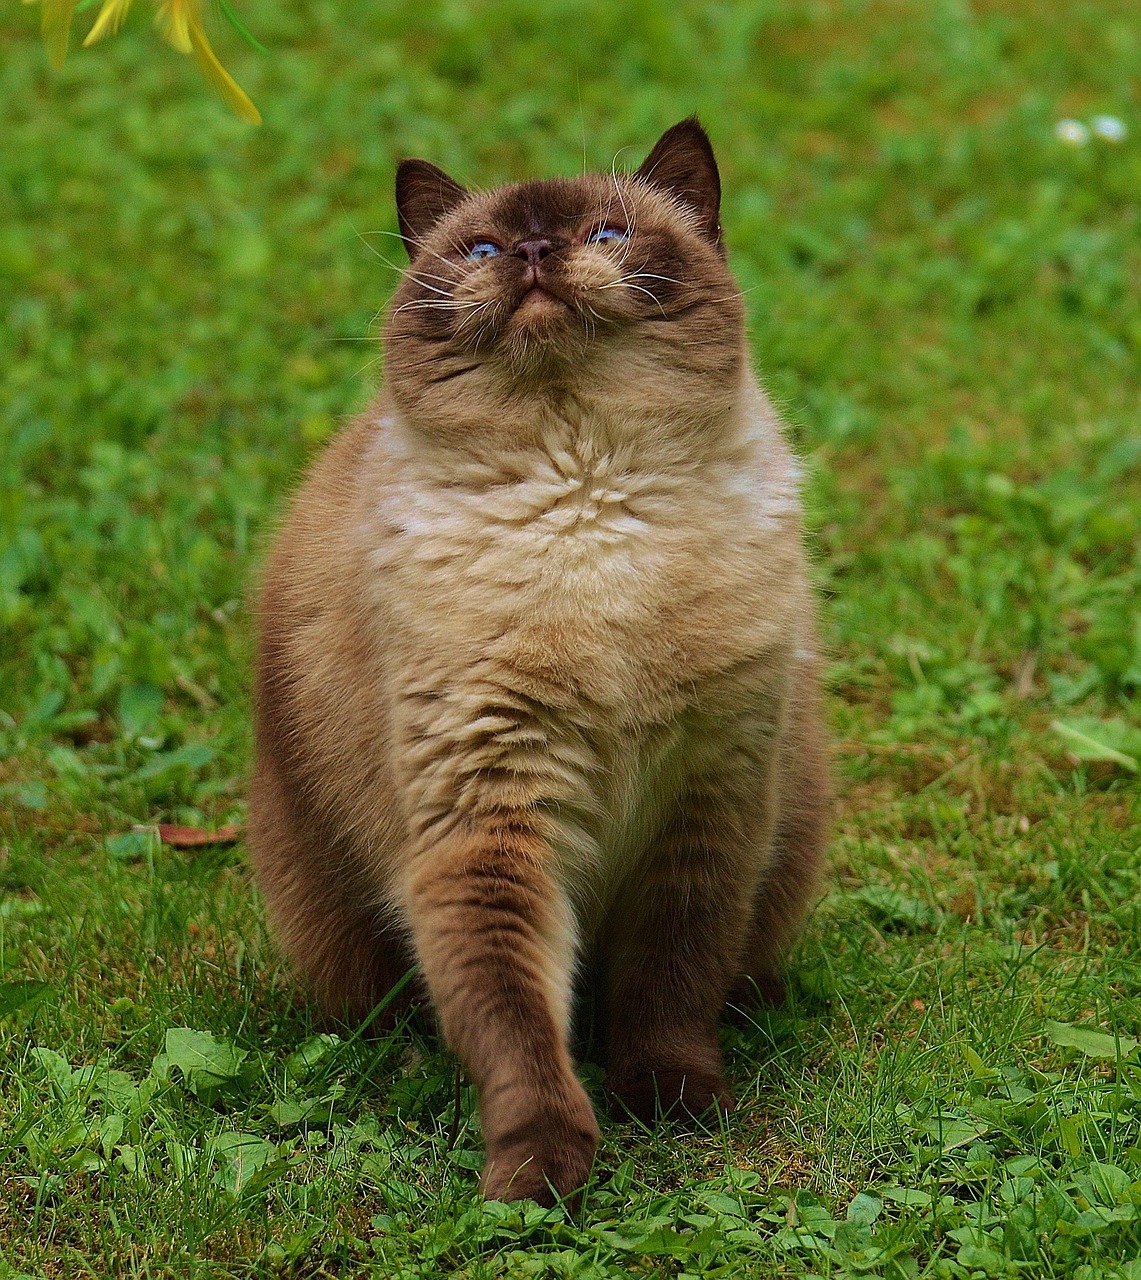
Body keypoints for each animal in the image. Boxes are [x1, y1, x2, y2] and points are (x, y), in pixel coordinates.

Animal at [249, 115, 829, 1203]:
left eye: (606, 232)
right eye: (479, 247)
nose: (528, 251)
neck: (588, 492)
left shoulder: (707, 807)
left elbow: (670, 982)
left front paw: (675, 1105)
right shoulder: (488, 820)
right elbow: (516, 1022)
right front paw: (537, 1178)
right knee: (393, 1014)